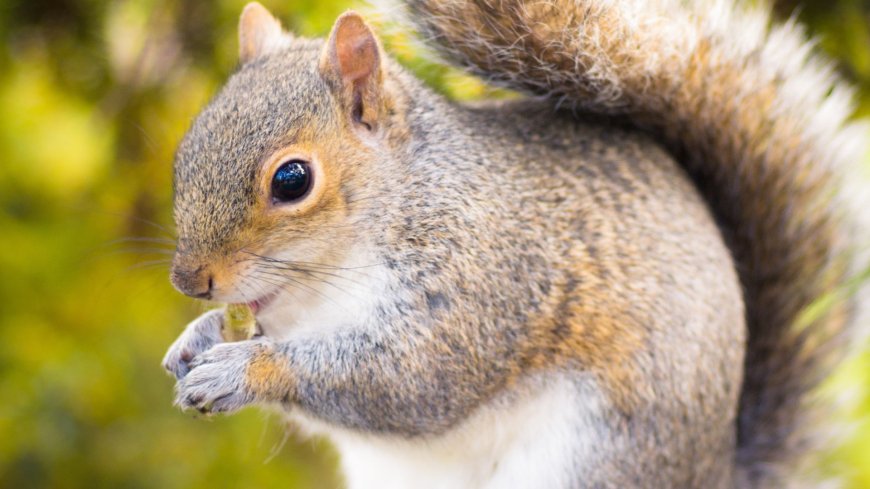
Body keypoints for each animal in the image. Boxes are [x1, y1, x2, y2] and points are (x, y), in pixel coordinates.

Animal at [160, 1, 868, 486]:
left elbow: (411, 382)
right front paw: (195, 339)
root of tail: (716, 470)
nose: (191, 281)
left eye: (292, 180)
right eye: (186, 147)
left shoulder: (485, 279)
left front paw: (243, 369)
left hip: (591, 462)